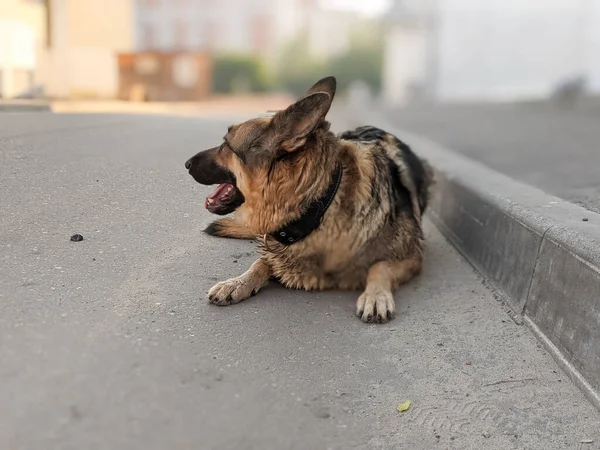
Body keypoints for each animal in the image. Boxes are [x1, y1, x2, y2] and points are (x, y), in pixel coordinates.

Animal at [185, 76, 434, 324]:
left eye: (226, 144)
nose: (186, 164)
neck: (321, 206)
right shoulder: (278, 253)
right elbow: (260, 262)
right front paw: (237, 282)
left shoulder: (412, 256)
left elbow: (379, 267)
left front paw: (375, 296)